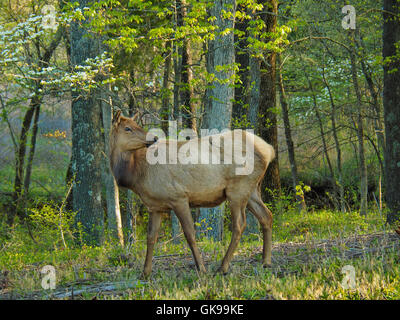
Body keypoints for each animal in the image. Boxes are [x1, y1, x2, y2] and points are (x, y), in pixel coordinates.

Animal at [111, 111, 276, 276]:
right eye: (127, 128)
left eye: (135, 125)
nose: (154, 138)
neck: (136, 174)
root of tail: (269, 150)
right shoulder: (155, 206)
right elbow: (151, 237)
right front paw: (145, 272)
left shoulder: (179, 197)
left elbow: (190, 234)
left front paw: (201, 268)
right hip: (252, 190)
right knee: (266, 215)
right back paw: (265, 261)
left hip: (238, 189)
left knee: (239, 225)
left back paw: (223, 267)